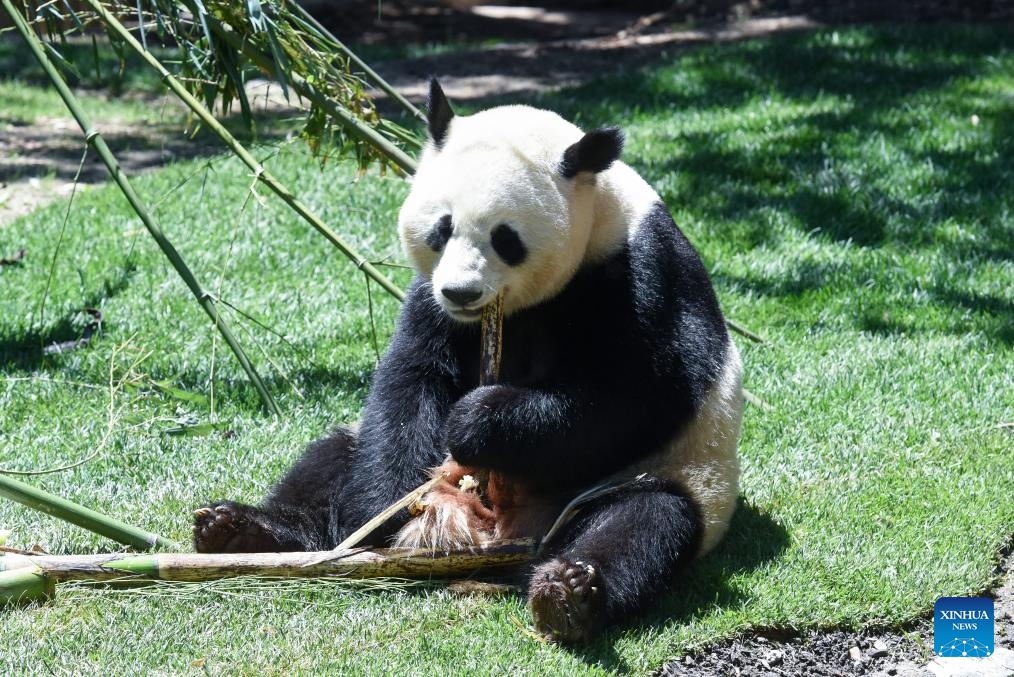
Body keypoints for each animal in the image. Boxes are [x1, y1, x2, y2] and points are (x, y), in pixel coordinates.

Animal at [193, 79, 744, 645]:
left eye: (506, 237)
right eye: (442, 228)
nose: (461, 292)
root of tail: (497, 541)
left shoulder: (640, 271)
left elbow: (639, 397)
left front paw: (479, 420)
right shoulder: (429, 297)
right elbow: (413, 377)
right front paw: (386, 515)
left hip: (658, 479)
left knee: (644, 521)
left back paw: (569, 592)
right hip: (355, 447)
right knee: (331, 458)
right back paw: (243, 530)